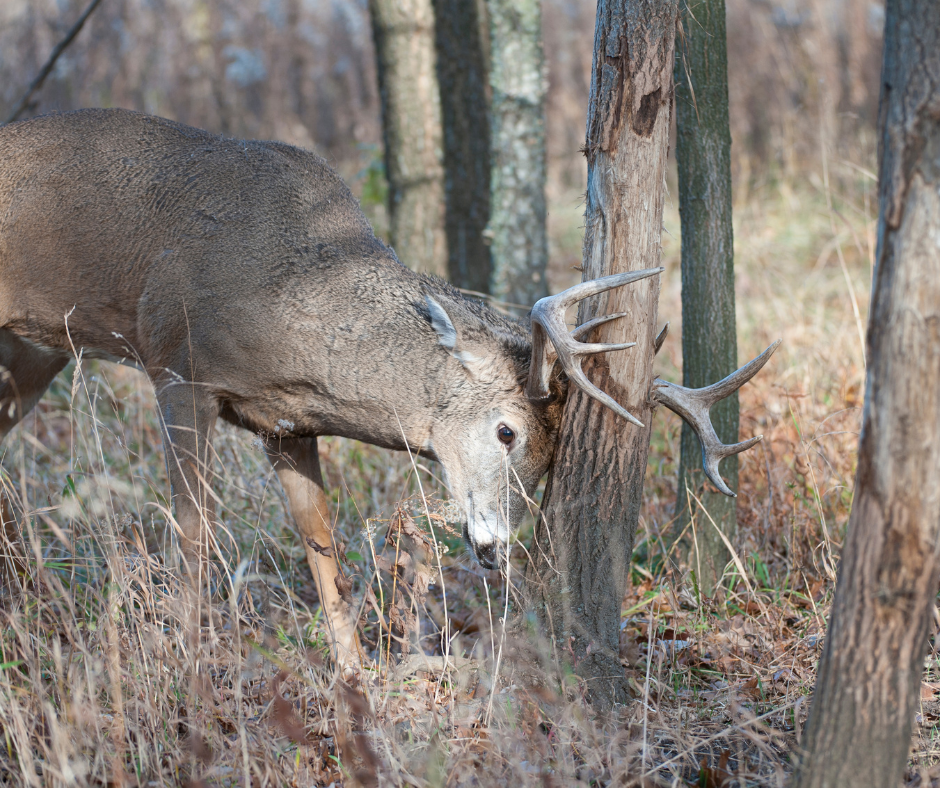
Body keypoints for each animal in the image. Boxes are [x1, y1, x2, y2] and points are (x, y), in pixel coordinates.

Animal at [0, 108, 778, 672]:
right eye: (507, 430)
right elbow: (192, 534)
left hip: (32, 355)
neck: (286, 300)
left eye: (549, 463)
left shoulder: (286, 424)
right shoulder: (177, 369)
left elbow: (323, 547)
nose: (494, 550)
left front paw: (354, 675)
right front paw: (187, 661)